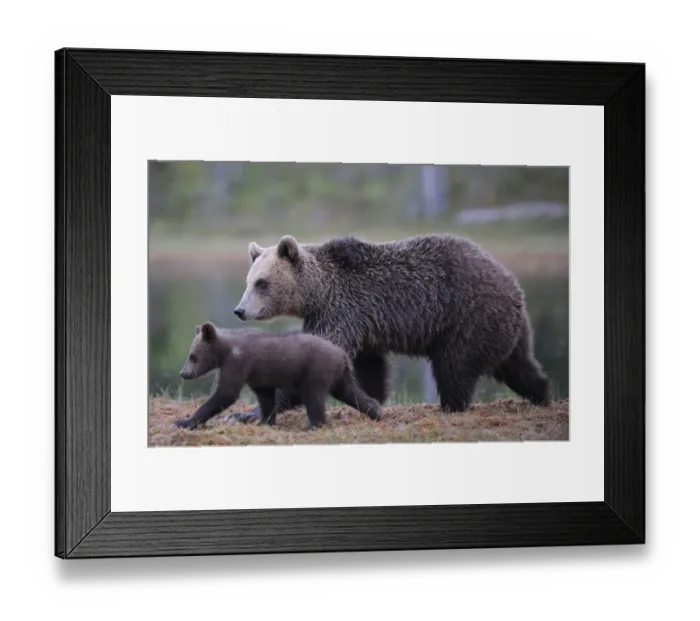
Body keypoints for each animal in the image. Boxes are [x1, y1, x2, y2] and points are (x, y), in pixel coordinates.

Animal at [173, 322, 382, 430]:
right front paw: (264, 421)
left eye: (193, 356)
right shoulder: (258, 376)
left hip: (315, 371)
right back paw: (376, 412)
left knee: (313, 398)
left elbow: (225, 393)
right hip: (340, 376)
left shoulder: (239, 364)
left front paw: (184, 421)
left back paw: (314, 425)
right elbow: (265, 397)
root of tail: (342, 354)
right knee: (351, 393)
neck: (225, 351)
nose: (183, 373)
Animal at [230, 233, 552, 421]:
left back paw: (451, 406)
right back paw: (543, 394)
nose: (240, 310)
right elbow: (370, 366)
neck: (319, 292)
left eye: (262, 283)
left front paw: (247, 414)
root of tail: (509, 281)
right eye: (248, 281)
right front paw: (372, 399)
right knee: (519, 365)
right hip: (505, 327)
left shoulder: (341, 310)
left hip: (467, 318)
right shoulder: (362, 323)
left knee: (454, 367)